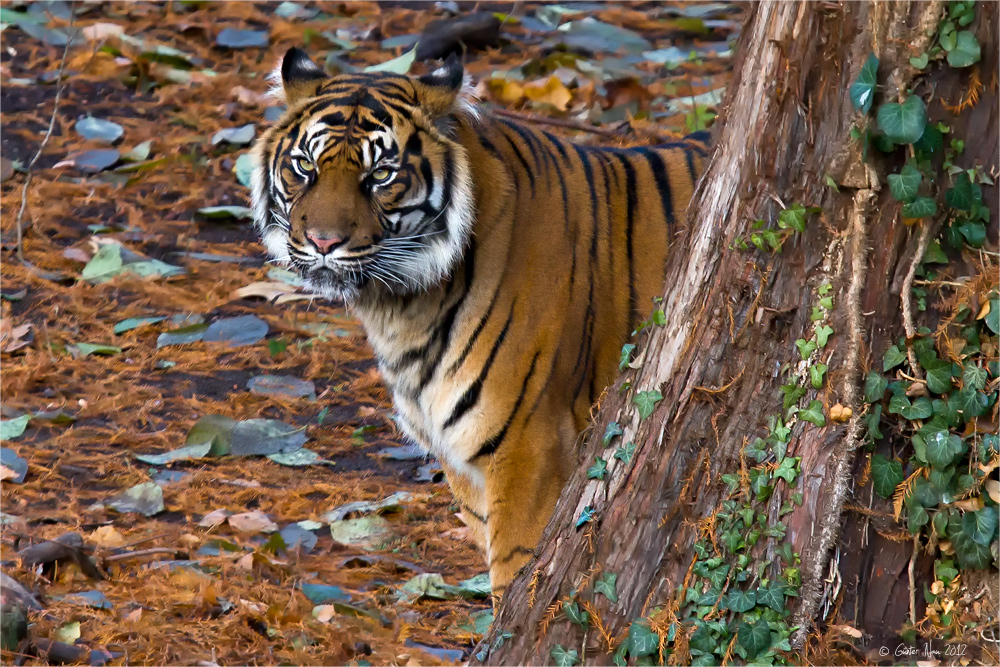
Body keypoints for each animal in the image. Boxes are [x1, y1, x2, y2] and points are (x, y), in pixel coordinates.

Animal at [250, 47, 712, 600]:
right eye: (304, 167)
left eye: (381, 174)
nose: (323, 242)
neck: (401, 308)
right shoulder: (459, 457)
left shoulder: (531, 444)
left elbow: (513, 571)